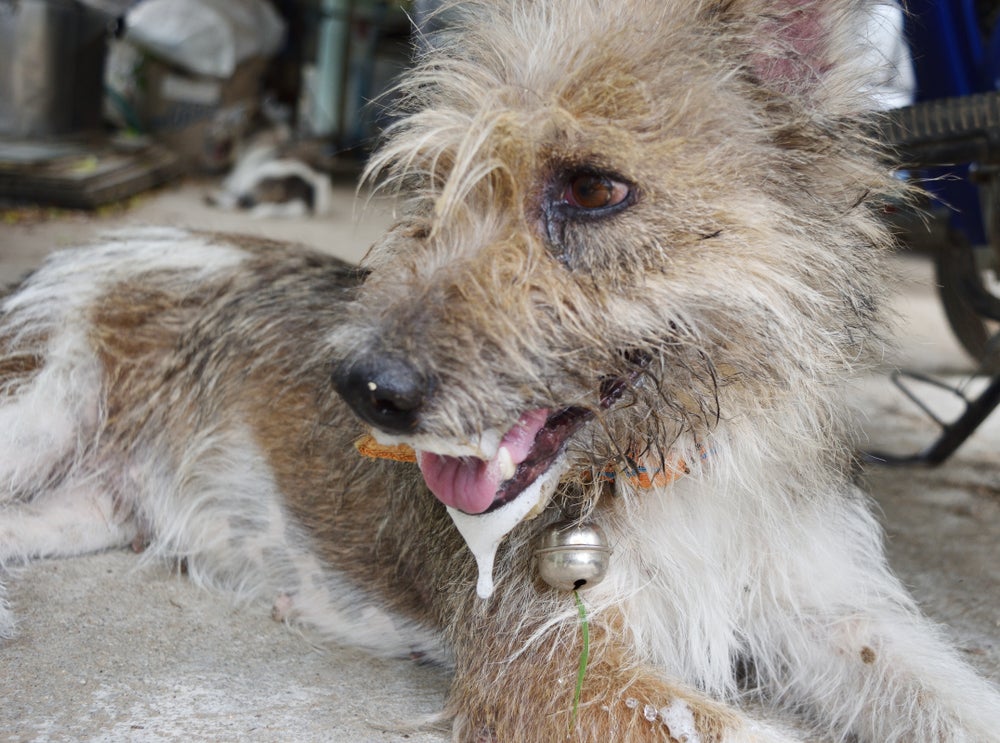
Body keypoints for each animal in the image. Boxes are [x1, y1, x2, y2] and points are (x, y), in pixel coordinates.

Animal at [1, 0, 1000, 740]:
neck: (684, 458)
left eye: (594, 188)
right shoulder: (552, 661)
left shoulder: (839, 613)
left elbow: (955, 697)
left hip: (79, 509)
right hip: (37, 411)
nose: (361, 386)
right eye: (440, 183)